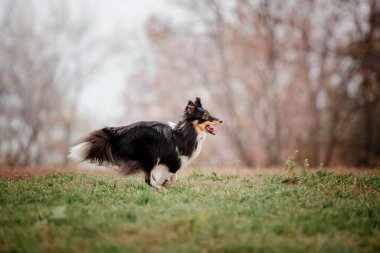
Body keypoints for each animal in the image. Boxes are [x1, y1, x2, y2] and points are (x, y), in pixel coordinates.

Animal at [69, 98, 220, 187]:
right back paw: (157, 187)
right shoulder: (174, 160)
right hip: (149, 155)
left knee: (149, 177)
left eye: (208, 114)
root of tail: (117, 133)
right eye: (205, 115)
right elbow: (170, 175)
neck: (186, 131)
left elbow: (173, 177)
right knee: (147, 180)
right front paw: (162, 183)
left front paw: (165, 183)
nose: (221, 120)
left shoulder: (171, 161)